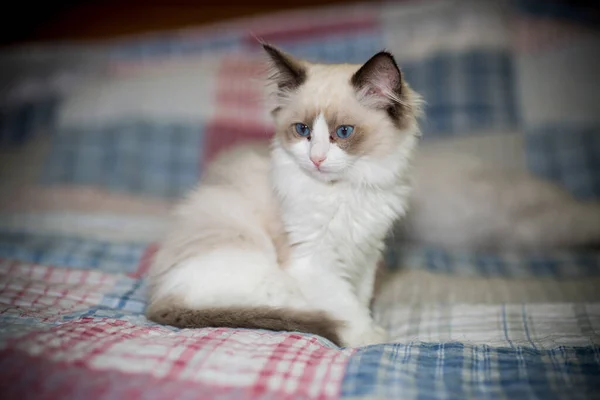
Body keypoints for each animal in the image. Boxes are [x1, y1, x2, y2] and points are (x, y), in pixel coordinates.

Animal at [145, 44, 422, 346]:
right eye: (303, 130)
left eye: (343, 132)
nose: (316, 159)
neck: (342, 191)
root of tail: (159, 299)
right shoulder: (313, 263)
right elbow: (348, 309)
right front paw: (368, 338)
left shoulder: (366, 253)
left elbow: (360, 297)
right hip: (265, 271)